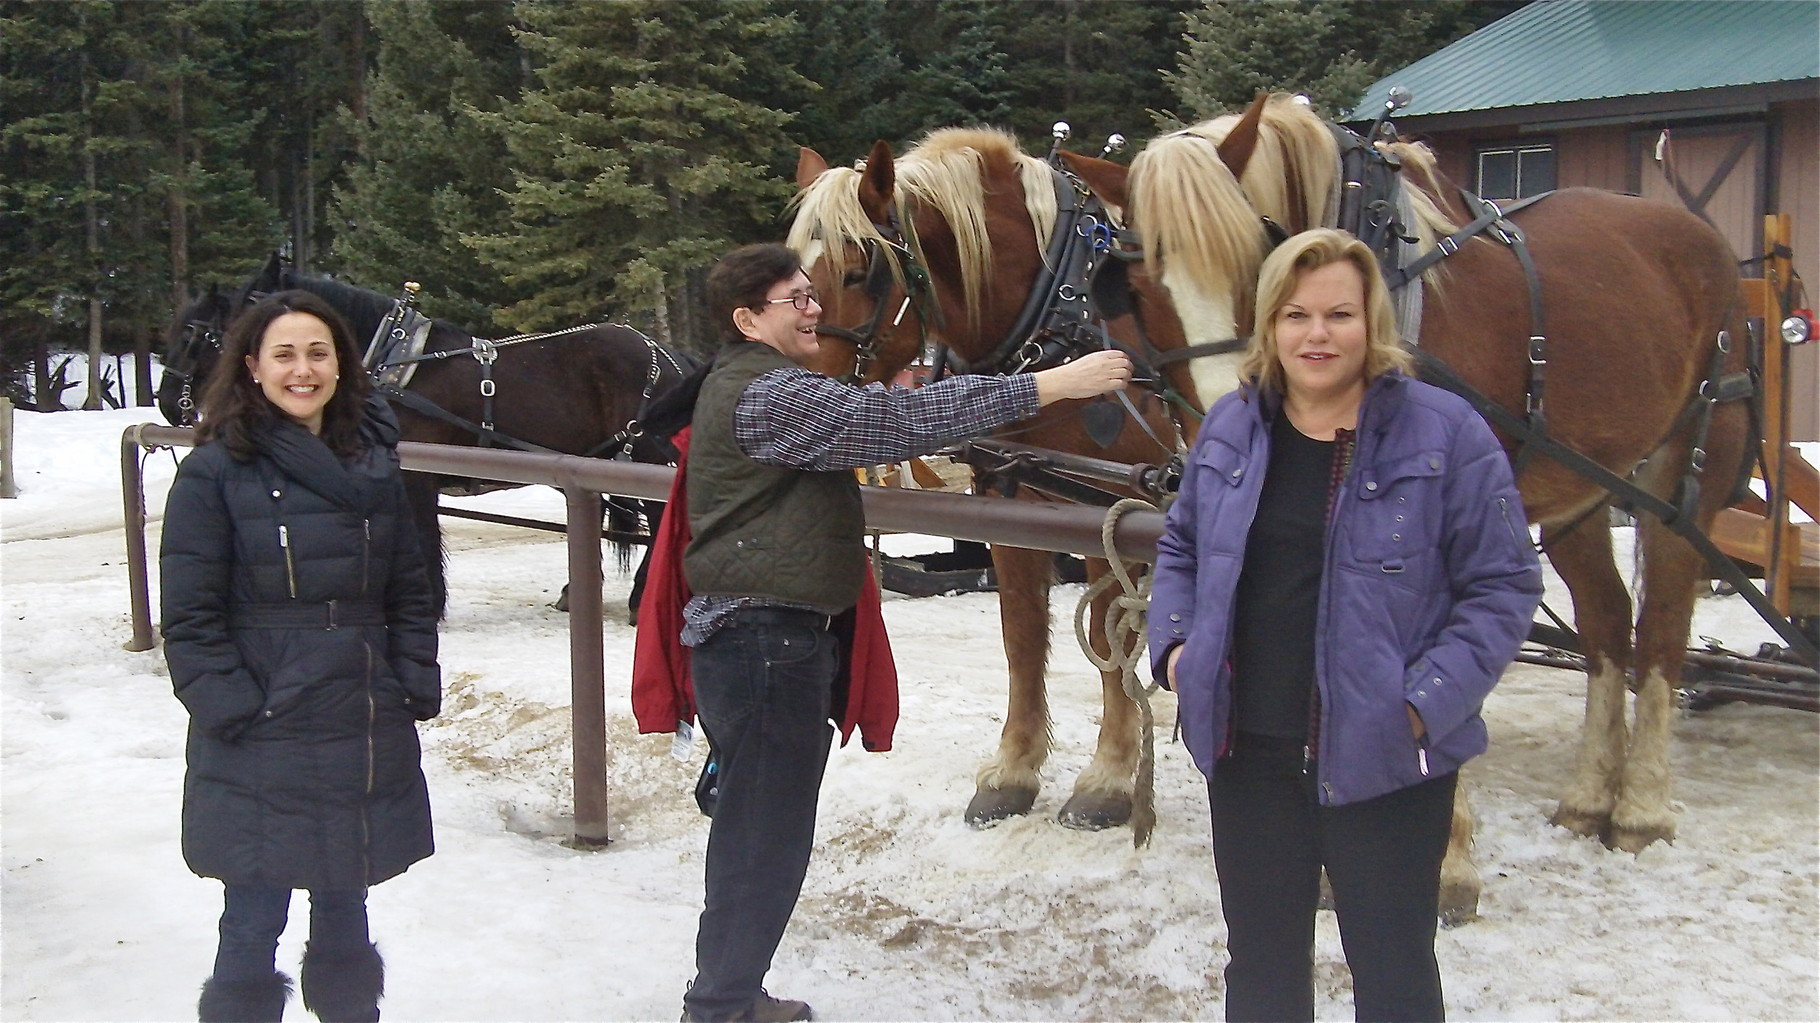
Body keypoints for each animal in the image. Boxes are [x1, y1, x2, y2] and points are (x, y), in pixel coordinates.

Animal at [163, 256, 691, 622]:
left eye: (193, 332)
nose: (168, 401)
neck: (389, 362)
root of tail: (664, 351)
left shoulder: (414, 477)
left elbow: (422, 538)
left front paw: (430, 606)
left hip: (644, 452)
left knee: (658, 514)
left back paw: (641, 598)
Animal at [786, 129, 1193, 837]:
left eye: (860, 271)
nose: (801, 394)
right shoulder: (1009, 499)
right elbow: (1020, 635)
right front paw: (1014, 770)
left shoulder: (1112, 510)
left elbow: (1105, 635)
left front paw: (1110, 779)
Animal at [1062, 97, 1754, 859]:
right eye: (1141, 291)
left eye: (1259, 262)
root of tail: (1709, 241)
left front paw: (1447, 851)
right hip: (1581, 488)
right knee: (1607, 622)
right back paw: (1589, 798)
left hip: (1684, 469)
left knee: (1661, 627)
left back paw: (1642, 807)